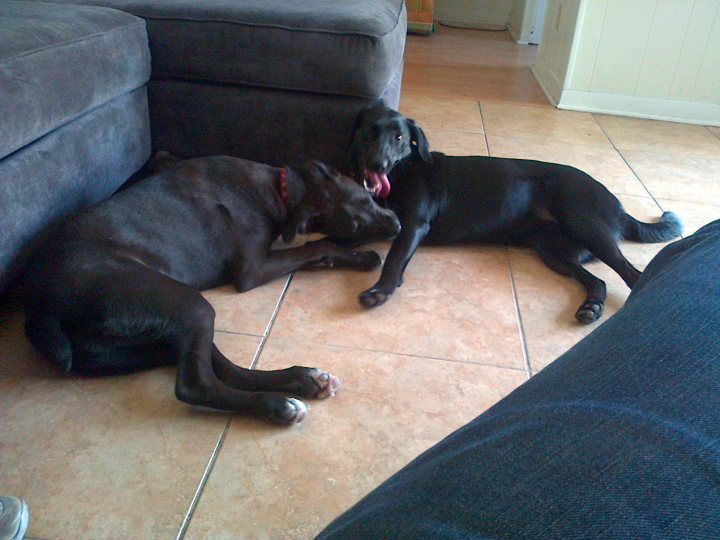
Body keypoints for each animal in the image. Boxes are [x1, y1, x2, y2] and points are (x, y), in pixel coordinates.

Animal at [23, 158, 400, 424]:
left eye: (369, 197)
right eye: (355, 223)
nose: (396, 226)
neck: (282, 189)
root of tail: (43, 308)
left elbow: (319, 249)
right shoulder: (252, 270)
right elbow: (316, 246)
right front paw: (362, 255)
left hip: (164, 326)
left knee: (223, 369)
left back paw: (302, 381)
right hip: (186, 302)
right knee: (195, 384)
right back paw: (278, 406)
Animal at [348, 105, 680, 322]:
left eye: (399, 138)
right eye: (369, 133)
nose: (377, 164)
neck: (403, 171)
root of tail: (619, 205)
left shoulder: (414, 225)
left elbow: (394, 258)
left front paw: (380, 290)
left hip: (584, 223)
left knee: (631, 272)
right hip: (553, 251)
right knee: (597, 281)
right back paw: (591, 308)